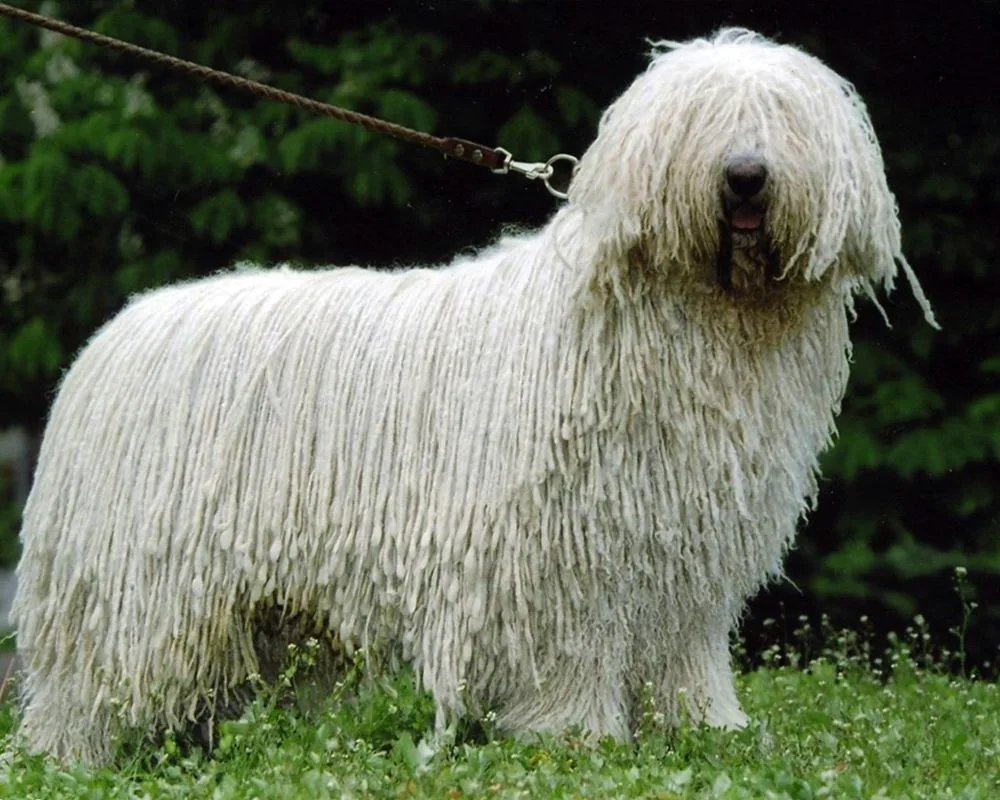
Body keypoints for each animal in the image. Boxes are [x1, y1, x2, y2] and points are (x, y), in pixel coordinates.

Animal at [11, 28, 936, 764]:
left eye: (780, 116)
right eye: (702, 118)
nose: (745, 176)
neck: (698, 321)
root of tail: (113, 336)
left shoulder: (683, 552)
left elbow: (683, 654)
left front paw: (708, 730)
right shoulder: (561, 552)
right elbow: (570, 656)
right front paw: (578, 736)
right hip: (140, 583)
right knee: (89, 685)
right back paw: (68, 757)